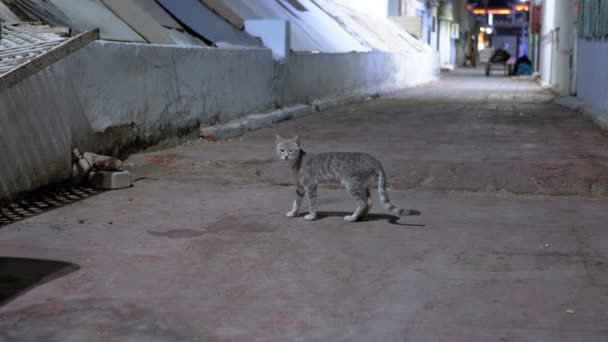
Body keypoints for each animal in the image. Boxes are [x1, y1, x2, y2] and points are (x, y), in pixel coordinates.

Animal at [274, 134, 418, 222]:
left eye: (291, 150)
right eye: (281, 150)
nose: (285, 156)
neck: (295, 164)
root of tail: (373, 160)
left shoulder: (311, 185)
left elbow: (312, 203)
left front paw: (312, 216)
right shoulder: (299, 187)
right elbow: (296, 202)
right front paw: (293, 213)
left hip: (352, 184)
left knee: (363, 202)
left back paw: (352, 218)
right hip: (362, 185)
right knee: (369, 201)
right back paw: (361, 217)